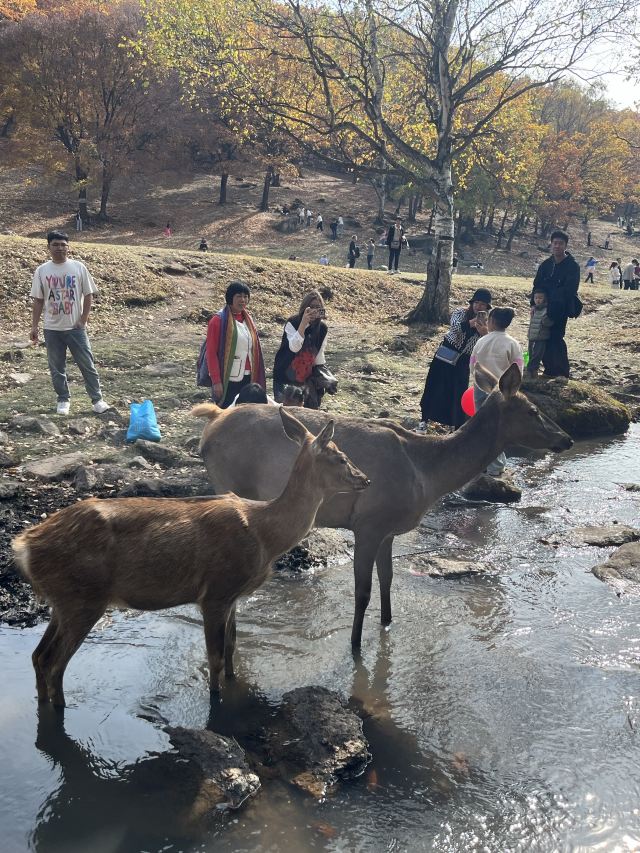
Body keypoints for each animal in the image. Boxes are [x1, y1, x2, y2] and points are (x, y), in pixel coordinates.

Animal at [12, 408, 369, 707]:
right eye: (340, 457)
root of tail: (23, 546)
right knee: (54, 663)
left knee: (38, 656)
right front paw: (216, 702)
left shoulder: (232, 595)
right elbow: (215, 659)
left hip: (64, 600)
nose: (365, 479)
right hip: (84, 597)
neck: (265, 535)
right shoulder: (215, 592)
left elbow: (232, 650)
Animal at [194, 365, 573, 649]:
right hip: (228, 483)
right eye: (533, 410)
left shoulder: (389, 530)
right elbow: (362, 592)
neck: (427, 474)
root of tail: (208, 429)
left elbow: (387, 580)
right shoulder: (368, 522)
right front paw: (355, 645)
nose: (566, 438)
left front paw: (388, 625)